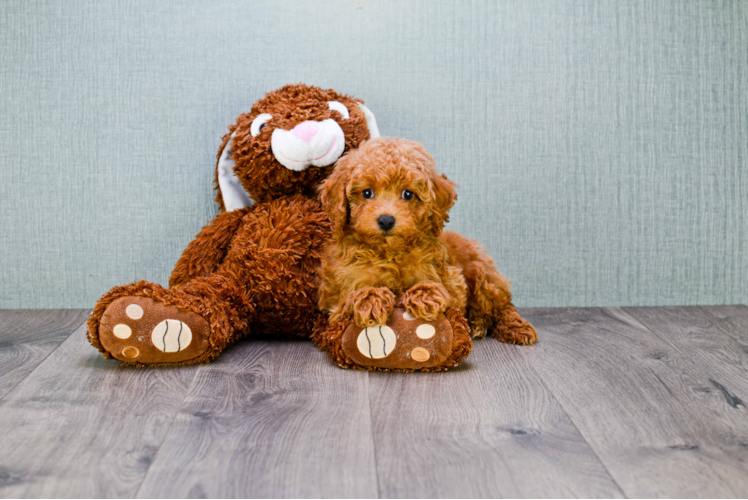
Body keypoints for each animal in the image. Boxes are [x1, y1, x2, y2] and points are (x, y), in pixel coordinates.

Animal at [316, 139, 536, 346]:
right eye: (367, 193)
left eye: (407, 194)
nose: (386, 220)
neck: (389, 251)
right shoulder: (335, 299)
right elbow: (350, 296)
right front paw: (370, 299)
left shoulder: (451, 279)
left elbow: (443, 290)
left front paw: (425, 295)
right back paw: (478, 324)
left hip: (482, 273)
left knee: (502, 305)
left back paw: (514, 327)